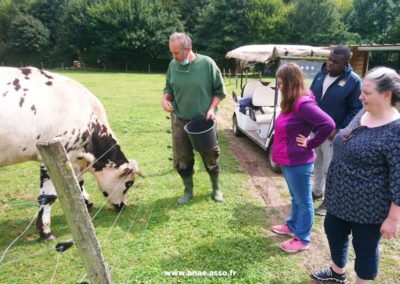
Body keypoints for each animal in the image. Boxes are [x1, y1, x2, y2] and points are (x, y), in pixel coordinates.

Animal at [0, 67, 141, 242]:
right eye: (129, 183)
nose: (123, 206)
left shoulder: (72, 158)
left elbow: (77, 185)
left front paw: (86, 204)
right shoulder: (53, 156)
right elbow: (48, 197)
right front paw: (45, 232)